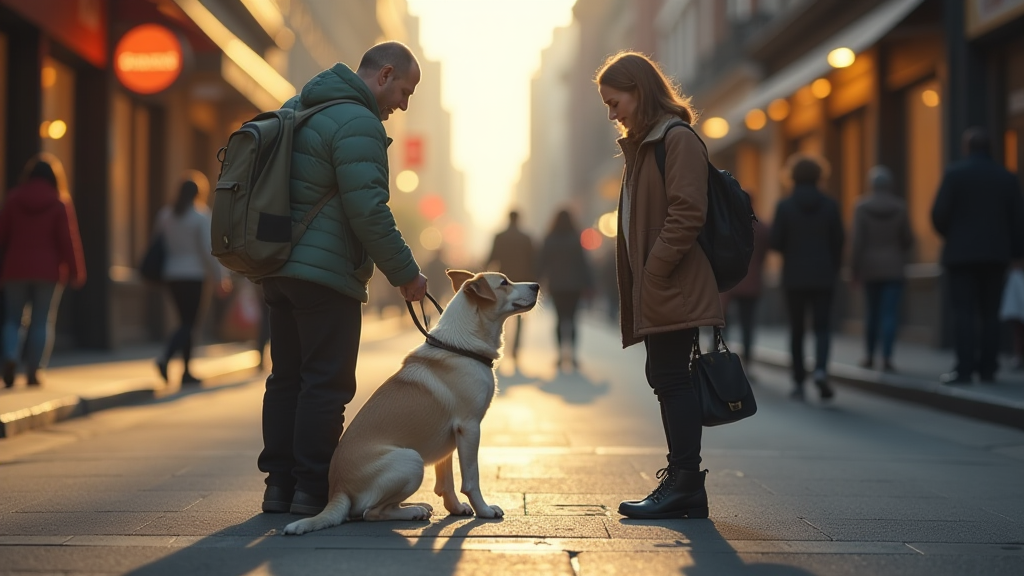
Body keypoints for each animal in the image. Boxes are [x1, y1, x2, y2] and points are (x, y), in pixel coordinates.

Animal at [280, 268, 536, 532]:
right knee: (370, 513)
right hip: (411, 460)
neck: (462, 348)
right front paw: (483, 511)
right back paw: (413, 511)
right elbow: (471, 479)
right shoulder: (469, 428)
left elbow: (446, 482)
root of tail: (337, 491)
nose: (537, 286)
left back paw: (417, 505)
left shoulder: (450, 437)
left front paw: (455, 509)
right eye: (504, 283)